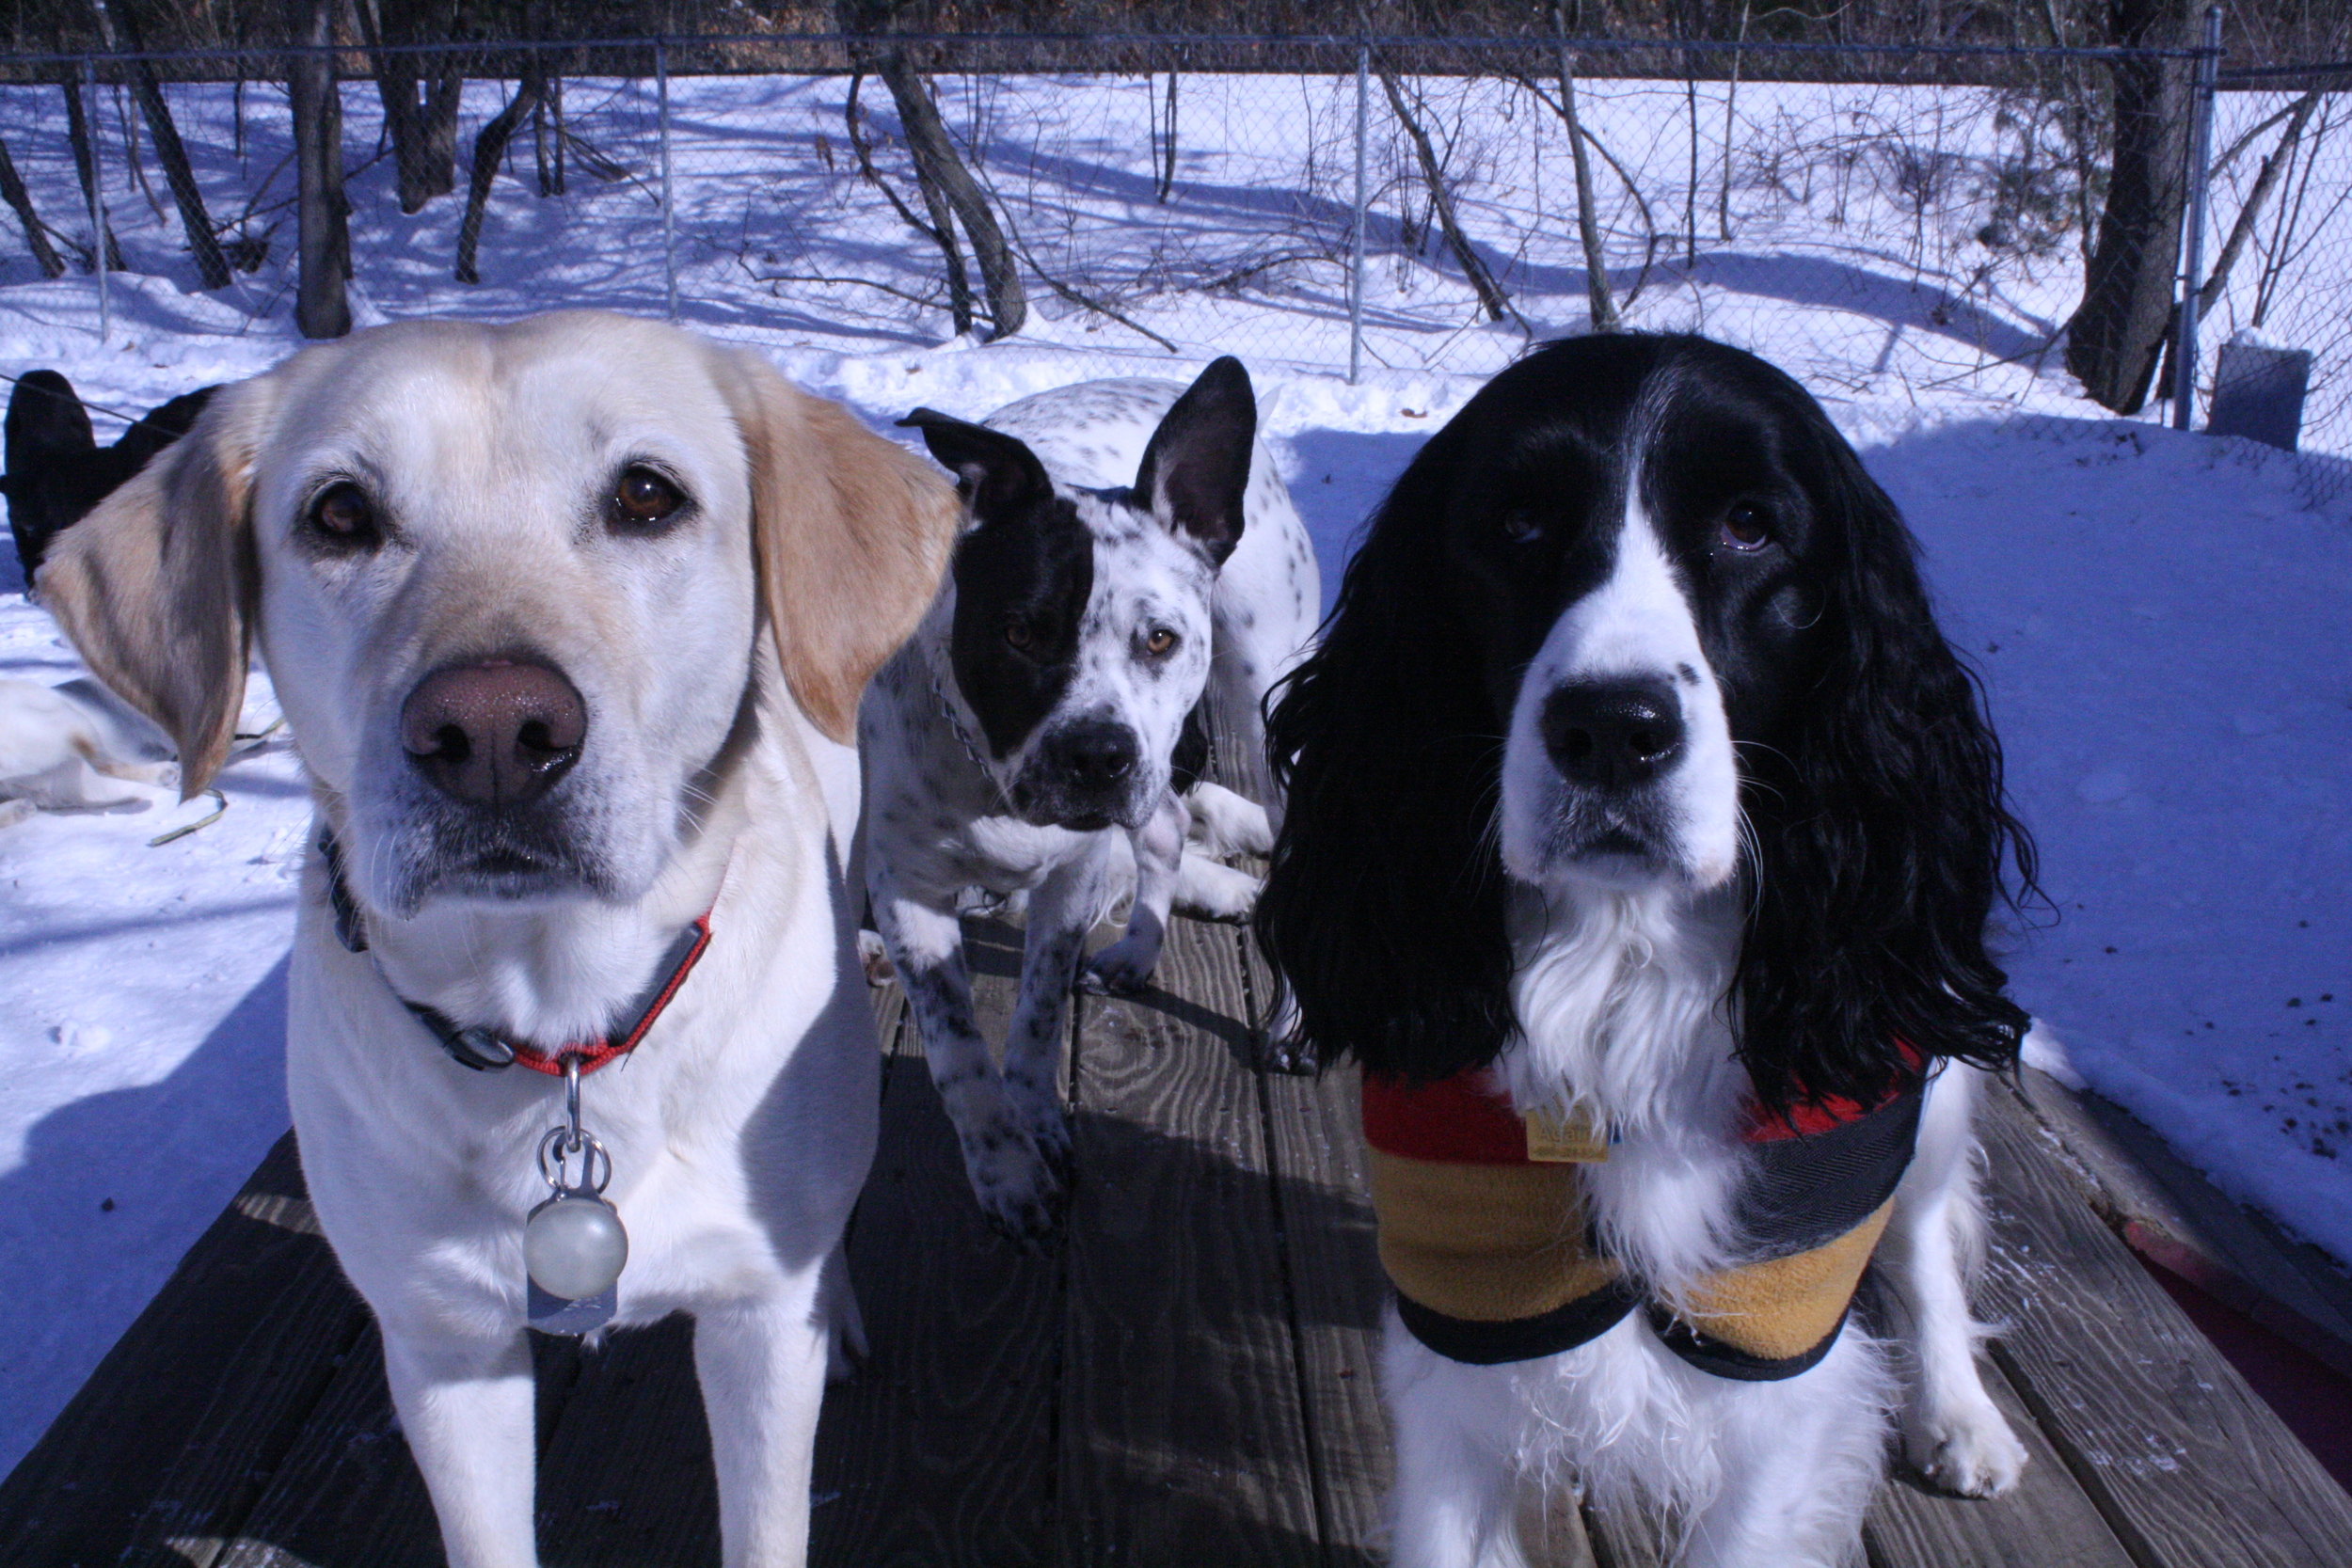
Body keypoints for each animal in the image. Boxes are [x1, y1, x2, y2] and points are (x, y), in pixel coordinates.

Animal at [39, 309, 955, 1568]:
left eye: (647, 495)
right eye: (339, 513)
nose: (489, 733)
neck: (562, 1027)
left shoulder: (756, 1328)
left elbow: (765, 1502)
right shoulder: (446, 1346)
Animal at [866, 355, 1317, 1241]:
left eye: (1161, 639)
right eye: (1019, 633)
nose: (1098, 753)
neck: (993, 784)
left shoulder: (1071, 878)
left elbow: (1038, 1017)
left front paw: (1036, 1120)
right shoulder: (907, 893)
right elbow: (958, 1052)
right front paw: (1006, 1168)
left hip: (1259, 708)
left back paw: (1290, 1017)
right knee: (1167, 826)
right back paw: (1140, 950)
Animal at [1261, 338, 2032, 1560]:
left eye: (1751, 524)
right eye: (1519, 523)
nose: (1613, 730)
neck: (1618, 971)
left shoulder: (1778, 1339)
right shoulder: (1460, 1316)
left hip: (1927, 1079)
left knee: (1922, 1237)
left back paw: (1959, 1416)